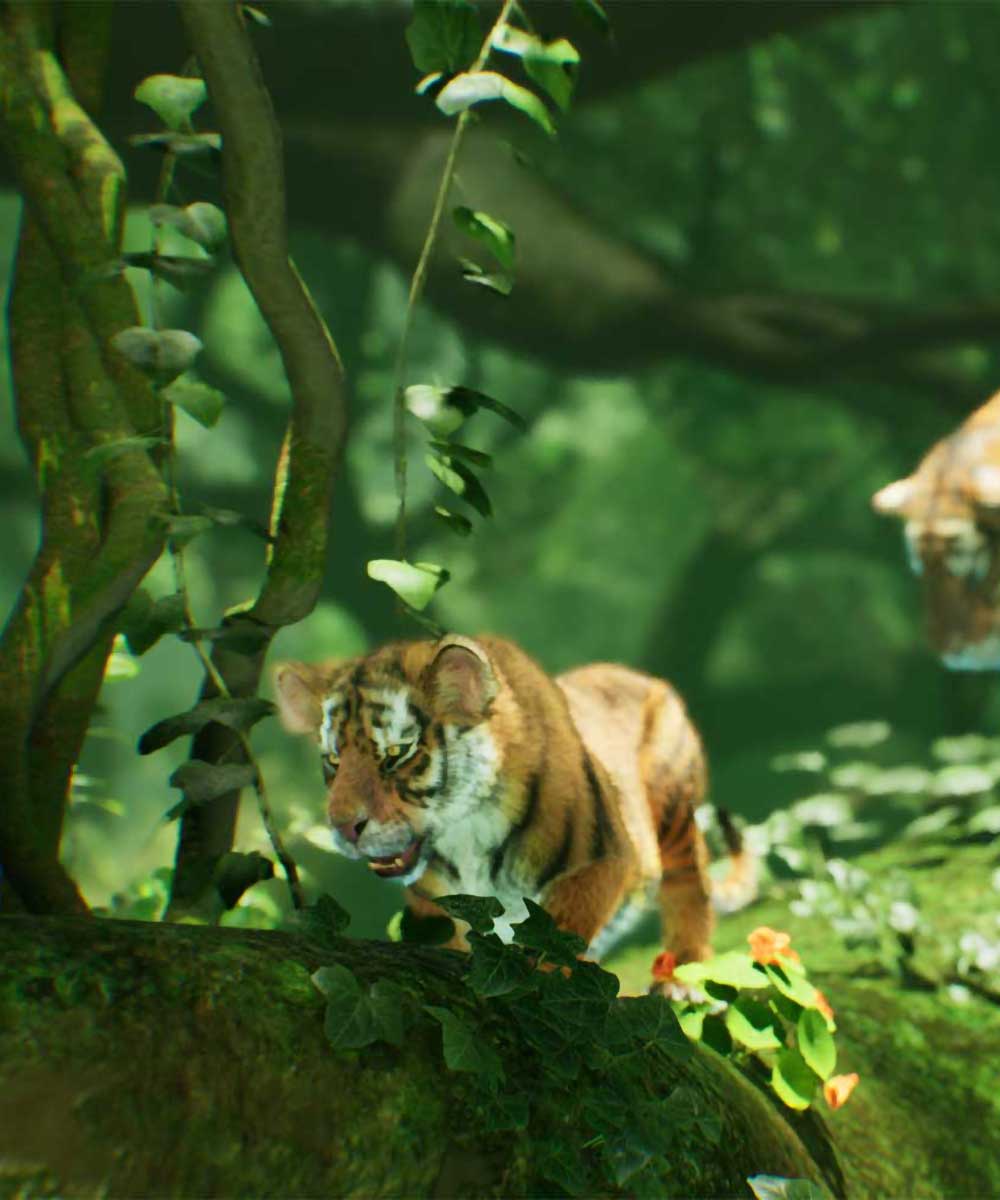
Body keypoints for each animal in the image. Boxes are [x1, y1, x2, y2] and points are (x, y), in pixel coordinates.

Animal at [273, 633, 756, 967]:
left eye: (396, 754)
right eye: (334, 759)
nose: (343, 828)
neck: (462, 836)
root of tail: (642, 675)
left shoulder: (601, 858)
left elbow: (557, 932)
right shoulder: (436, 903)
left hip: (672, 807)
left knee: (689, 882)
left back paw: (681, 976)